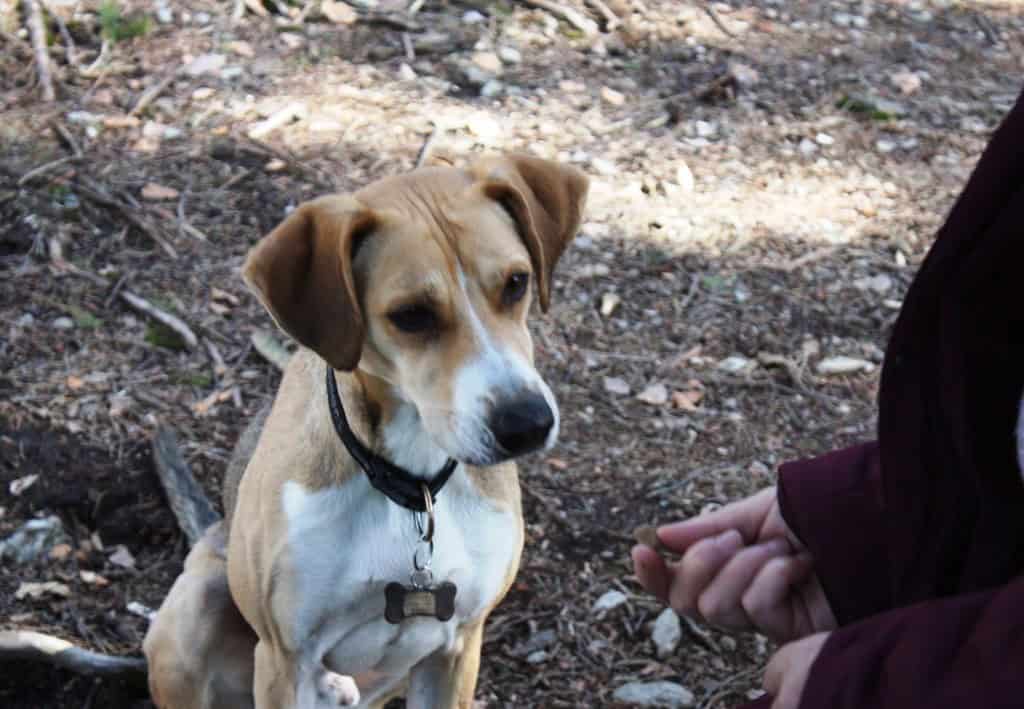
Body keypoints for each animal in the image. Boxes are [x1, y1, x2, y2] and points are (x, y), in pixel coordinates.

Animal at [145, 152, 593, 704]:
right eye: (412, 315)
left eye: (516, 282)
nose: (528, 424)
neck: (412, 486)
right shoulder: (285, 659)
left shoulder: (457, 649)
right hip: (194, 618)